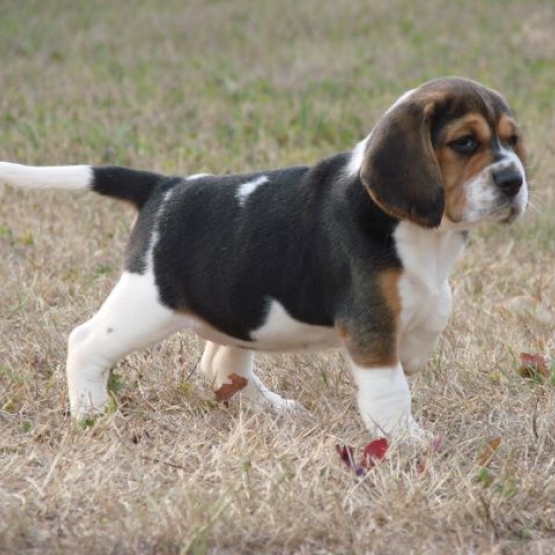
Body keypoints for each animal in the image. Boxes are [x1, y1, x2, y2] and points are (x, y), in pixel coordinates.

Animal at [1, 77, 528, 438]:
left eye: (513, 139)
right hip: (145, 305)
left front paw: (417, 348)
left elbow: (436, 307)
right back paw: (91, 411)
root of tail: (165, 187)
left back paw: (269, 407)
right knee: (85, 342)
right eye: (465, 142)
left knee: (221, 365)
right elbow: (391, 388)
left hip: (238, 310)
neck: (424, 234)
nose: (514, 181)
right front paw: (407, 439)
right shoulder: (370, 324)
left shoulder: (428, 288)